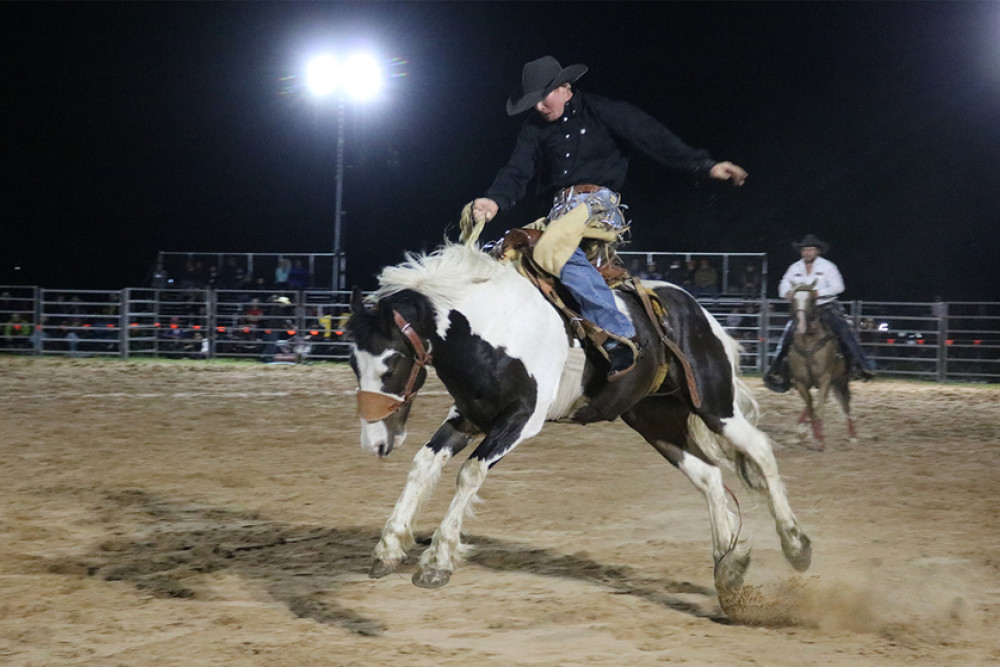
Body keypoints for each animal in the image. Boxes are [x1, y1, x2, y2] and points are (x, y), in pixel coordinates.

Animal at [348, 244, 808, 596]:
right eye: (354, 363)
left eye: (392, 362)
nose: (375, 442)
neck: (491, 325)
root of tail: (698, 312)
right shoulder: (469, 415)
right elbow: (424, 464)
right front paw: (389, 548)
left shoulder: (519, 419)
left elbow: (470, 473)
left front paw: (438, 561)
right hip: (654, 421)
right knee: (709, 476)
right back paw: (728, 565)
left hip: (715, 405)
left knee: (760, 450)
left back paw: (795, 544)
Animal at [784, 284, 856, 452]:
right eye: (794, 300)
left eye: (811, 300)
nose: (801, 323)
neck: (809, 342)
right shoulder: (801, 382)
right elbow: (810, 407)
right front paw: (814, 436)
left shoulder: (825, 378)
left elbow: (819, 406)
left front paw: (820, 439)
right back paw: (801, 430)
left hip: (841, 380)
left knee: (845, 403)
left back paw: (852, 435)